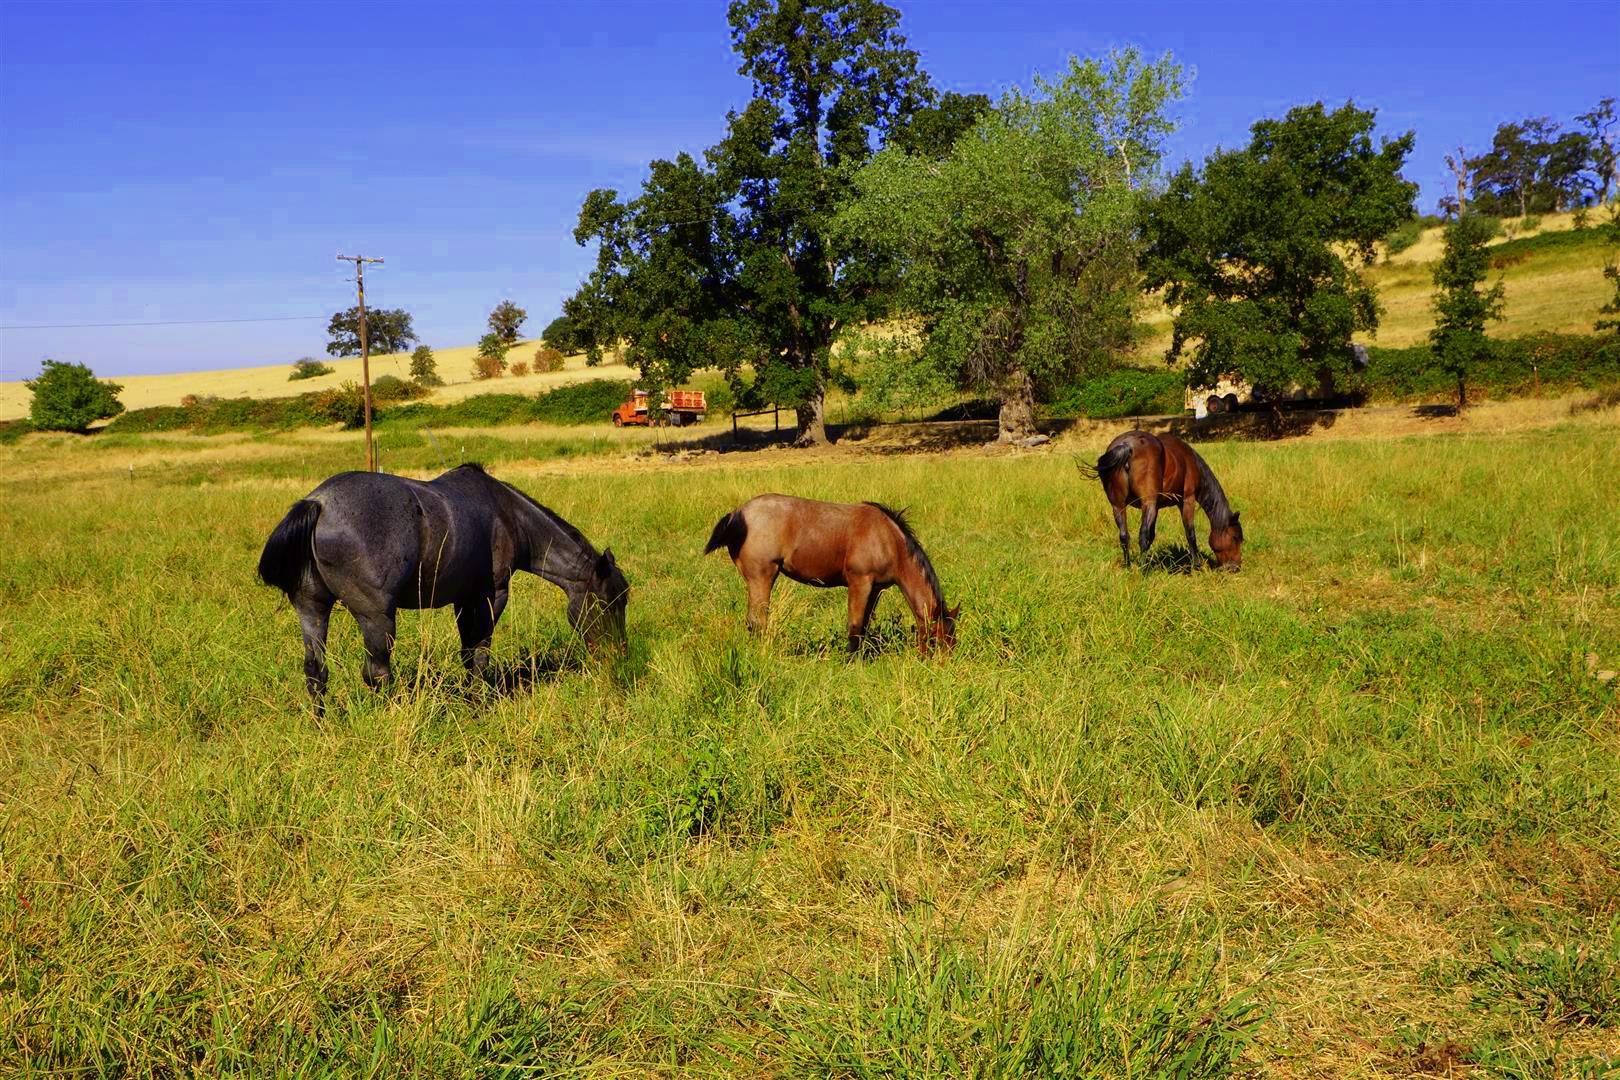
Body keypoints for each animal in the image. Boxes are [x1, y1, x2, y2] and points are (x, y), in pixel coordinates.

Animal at [257, 463, 628, 711]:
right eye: (610, 602)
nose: (620, 656)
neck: (508, 514)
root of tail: (318, 504)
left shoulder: (463, 599)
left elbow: (467, 652)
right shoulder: (492, 595)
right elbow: (480, 653)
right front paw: (477, 703)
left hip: (312, 608)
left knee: (315, 671)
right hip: (376, 617)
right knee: (377, 673)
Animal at [704, 494, 958, 655]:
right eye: (938, 638)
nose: (943, 666)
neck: (889, 540)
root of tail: (737, 514)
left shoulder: (875, 589)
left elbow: (864, 626)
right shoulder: (860, 582)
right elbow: (854, 626)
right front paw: (852, 661)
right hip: (762, 578)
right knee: (758, 621)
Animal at [1085, 431, 1244, 570]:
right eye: (1235, 537)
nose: (1235, 567)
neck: (1189, 461)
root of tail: (1127, 445)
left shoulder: (1156, 507)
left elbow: (1152, 535)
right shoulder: (1187, 500)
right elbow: (1190, 534)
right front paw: (1197, 565)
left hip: (1118, 506)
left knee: (1124, 536)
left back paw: (1129, 567)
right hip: (1147, 503)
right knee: (1142, 535)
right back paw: (1142, 571)